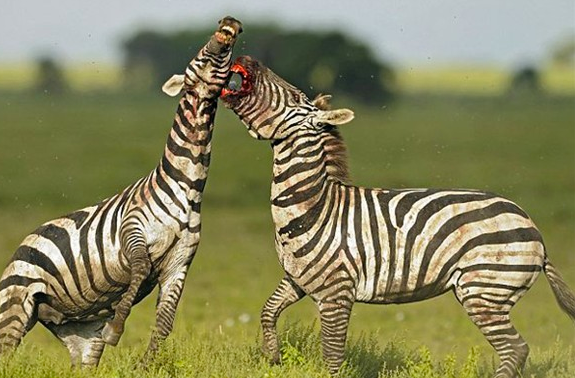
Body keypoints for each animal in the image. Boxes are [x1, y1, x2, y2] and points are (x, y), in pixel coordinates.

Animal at [0, 17, 243, 366]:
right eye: (199, 56)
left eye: (228, 58)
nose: (228, 24)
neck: (187, 186)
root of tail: (24, 242)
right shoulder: (133, 231)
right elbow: (140, 270)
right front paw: (116, 329)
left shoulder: (180, 262)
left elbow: (165, 321)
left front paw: (147, 365)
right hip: (15, 303)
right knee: (7, 350)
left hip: (80, 330)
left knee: (82, 360)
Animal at [222, 56, 575, 378]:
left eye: (295, 97)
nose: (248, 59)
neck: (313, 206)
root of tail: (533, 227)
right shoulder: (298, 279)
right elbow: (268, 311)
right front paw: (272, 357)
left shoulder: (337, 291)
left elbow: (332, 354)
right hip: (487, 291)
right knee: (515, 349)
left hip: (485, 290)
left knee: (515, 348)